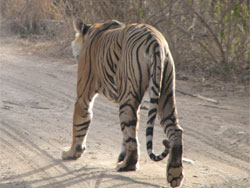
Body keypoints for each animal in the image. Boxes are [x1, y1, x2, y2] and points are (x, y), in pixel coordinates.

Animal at [62, 17, 184, 187]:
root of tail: (154, 40)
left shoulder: (83, 94)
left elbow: (79, 124)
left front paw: (72, 153)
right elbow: (129, 133)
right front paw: (121, 155)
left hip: (128, 100)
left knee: (131, 134)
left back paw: (127, 165)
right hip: (165, 92)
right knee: (175, 129)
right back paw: (175, 174)